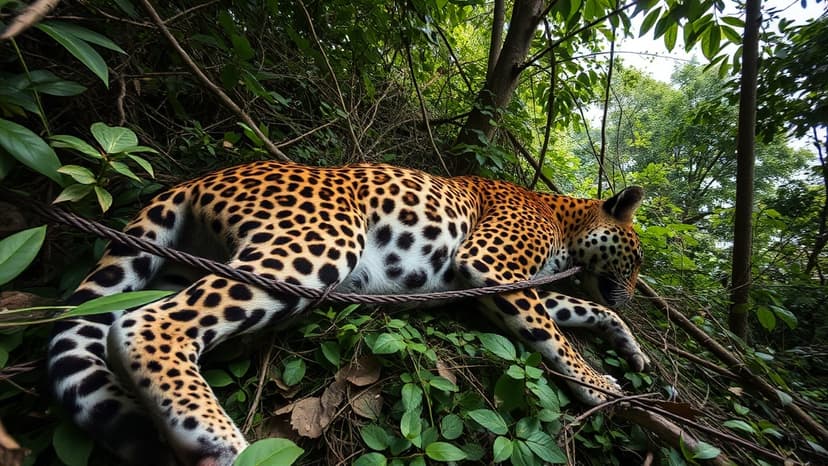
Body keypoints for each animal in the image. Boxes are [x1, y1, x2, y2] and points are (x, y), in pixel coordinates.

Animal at [48, 160, 648, 466]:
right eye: (638, 258)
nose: (636, 293)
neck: (564, 219)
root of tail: (196, 179)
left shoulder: (519, 285)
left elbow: (579, 309)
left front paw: (631, 348)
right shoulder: (490, 267)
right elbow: (556, 338)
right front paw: (601, 386)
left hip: (178, 266)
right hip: (315, 244)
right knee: (146, 324)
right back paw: (213, 436)